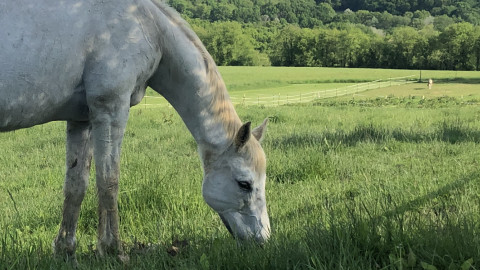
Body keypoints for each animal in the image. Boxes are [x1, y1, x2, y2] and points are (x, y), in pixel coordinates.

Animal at [0, 0, 270, 262]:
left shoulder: (81, 120)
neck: (148, 25)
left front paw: (65, 250)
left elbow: (76, 185)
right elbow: (108, 181)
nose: (263, 240)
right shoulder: (111, 109)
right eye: (244, 184)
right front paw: (112, 250)